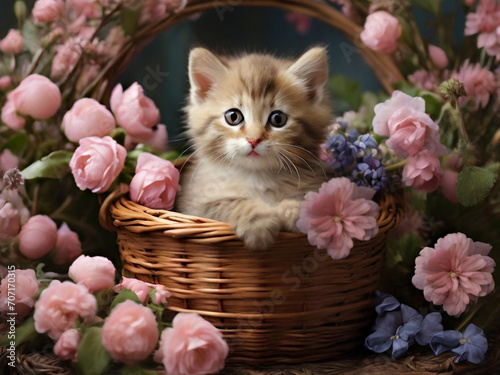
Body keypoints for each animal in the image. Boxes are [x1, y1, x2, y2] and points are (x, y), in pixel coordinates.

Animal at [178, 47, 334, 251]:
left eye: (278, 119)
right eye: (233, 117)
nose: (253, 139)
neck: (257, 177)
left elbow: (317, 199)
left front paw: (295, 209)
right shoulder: (194, 207)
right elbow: (228, 202)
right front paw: (258, 222)